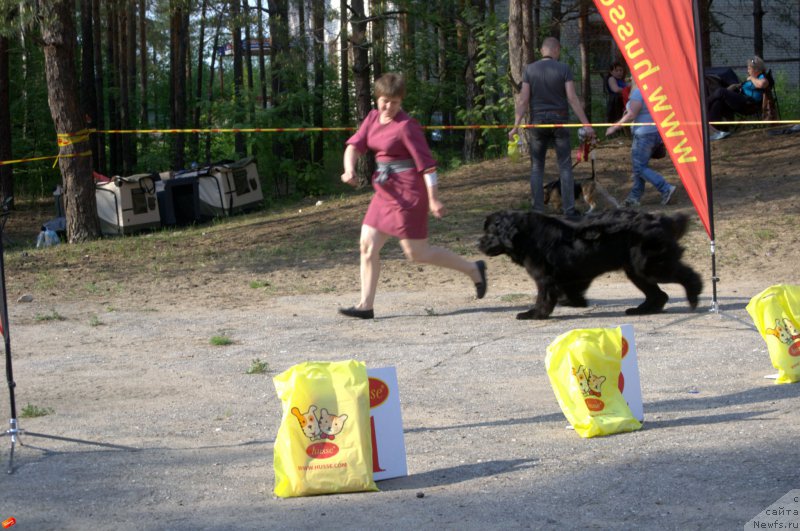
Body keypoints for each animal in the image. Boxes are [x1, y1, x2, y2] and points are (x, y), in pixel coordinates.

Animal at [478, 210, 704, 320]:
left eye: (490, 232)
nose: (478, 243)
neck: (525, 235)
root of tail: (661, 219)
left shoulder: (545, 278)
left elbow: (544, 297)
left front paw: (534, 315)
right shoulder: (570, 274)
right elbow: (569, 291)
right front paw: (575, 302)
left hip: (649, 265)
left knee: (686, 276)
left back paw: (694, 295)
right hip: (636, 269)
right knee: (659, 294)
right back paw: (642, 310)